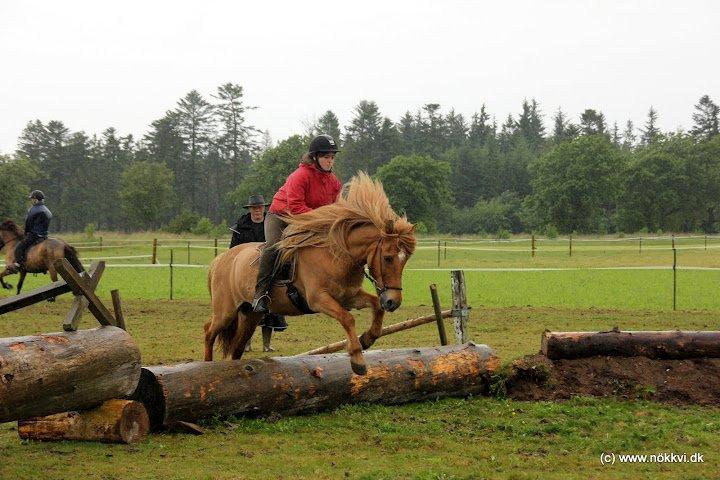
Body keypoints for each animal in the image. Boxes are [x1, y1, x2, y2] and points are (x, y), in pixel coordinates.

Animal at [202, 172, 416, 376]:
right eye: (388, 258)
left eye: (405, 259)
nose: (393, 302)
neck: (336, 256)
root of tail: (220, 260)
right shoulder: (318, 299)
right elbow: (347, 318)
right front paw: (358, 360)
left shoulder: (348, 296)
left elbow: (375, 306)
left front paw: (367, 339)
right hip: (226, 311)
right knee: (209, 331)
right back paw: (206, 365)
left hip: (250, 315)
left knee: (237, 347)